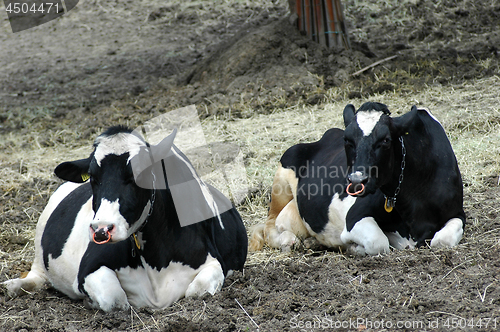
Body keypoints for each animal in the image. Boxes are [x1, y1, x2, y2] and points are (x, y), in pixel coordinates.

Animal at [1, 125, 248, 312]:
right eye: (93, 177)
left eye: (139, 175)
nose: (101, 229)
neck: (156, 262)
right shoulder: (88, 268)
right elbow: (115, 298)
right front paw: (91, 302)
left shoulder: (214, 263)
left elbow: (197, 291)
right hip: (40, 242)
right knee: (37, 276)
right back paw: (11, 286)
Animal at [250, 101, 464, 254]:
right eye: (348, 140)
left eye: (385, 140)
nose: (356, 182)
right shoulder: (355, 216)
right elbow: (379, 242)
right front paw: (353, 248)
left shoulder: (458, 213)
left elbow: (441, 241)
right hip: (282, 178)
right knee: (269, 225)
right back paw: (287, 240)